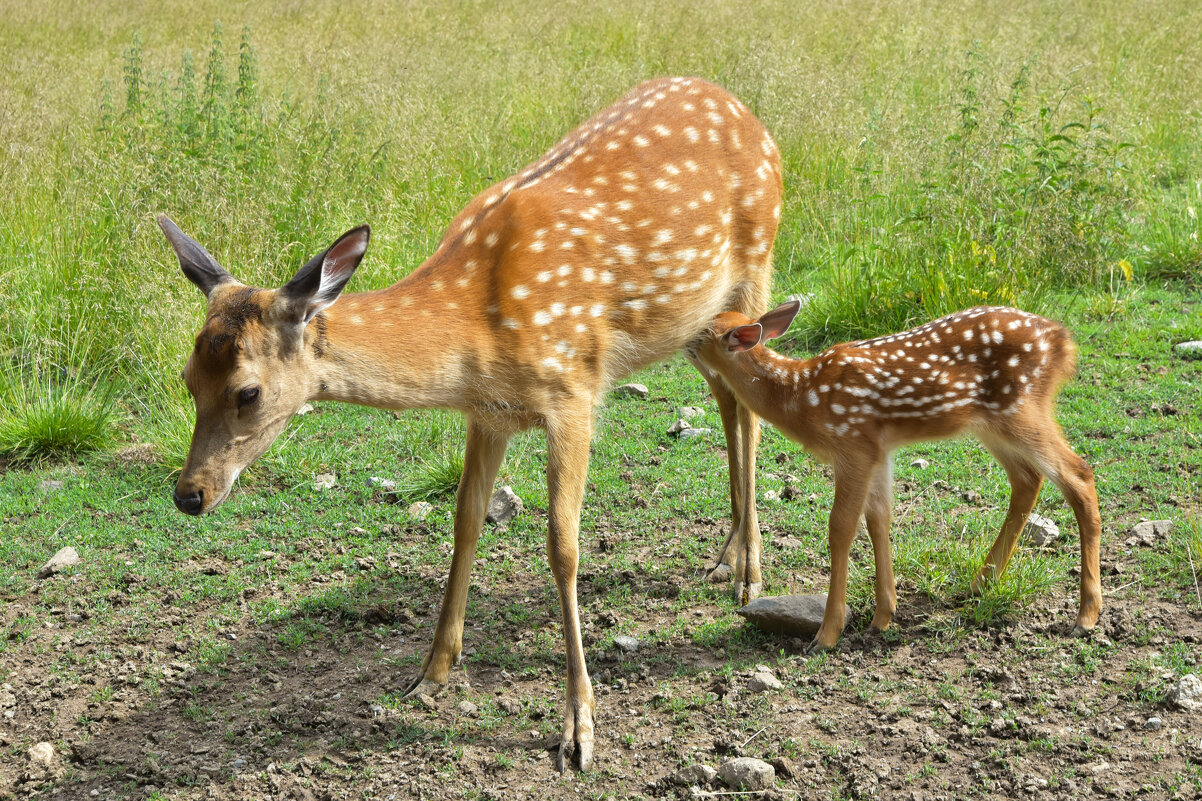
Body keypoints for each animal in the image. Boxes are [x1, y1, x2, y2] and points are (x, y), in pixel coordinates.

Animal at [157, 79, 778, 769]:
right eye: (186, 378)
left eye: (248, 391)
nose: (189, 494)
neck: (476, 330)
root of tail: (744, 111)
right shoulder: (489, 414)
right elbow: (465, 522)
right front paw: (431, 672)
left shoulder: (573, 389)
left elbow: (563, 546)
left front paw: (579, 727)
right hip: (697, 324)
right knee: (727, 402)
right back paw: (727, 555)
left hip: (755, 270)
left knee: (751, 410)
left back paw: (751, 576)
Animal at [697, 299, 1101, 649]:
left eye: (701, 333)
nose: (684, 339)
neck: (801, 396)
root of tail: (1062, 341)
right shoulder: (878, 452)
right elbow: (878, 519)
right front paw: (882, 616)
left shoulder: (852, 445)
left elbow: (841, 527)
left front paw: (826, 635)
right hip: (991, 423)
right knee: (1028, 479)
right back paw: (979, 584)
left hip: (1021, 408)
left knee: (1079, 474)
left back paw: (1086, 616)